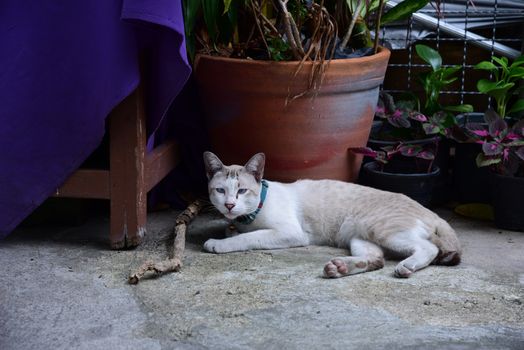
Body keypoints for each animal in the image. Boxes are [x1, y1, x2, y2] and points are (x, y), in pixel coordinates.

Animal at [203, 152, 460, 278]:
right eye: (220, 191)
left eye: (242, 191)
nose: (229, 205)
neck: (248, 218)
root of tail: (431, 212)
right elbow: (235, 231)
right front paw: (228, 230)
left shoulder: (290, 233)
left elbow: (247, 238)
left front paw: (219, 243)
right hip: (359, 236)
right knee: (376, 260)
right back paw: (339, 268)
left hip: (383, 230)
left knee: (429, 248)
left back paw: (407, 266)